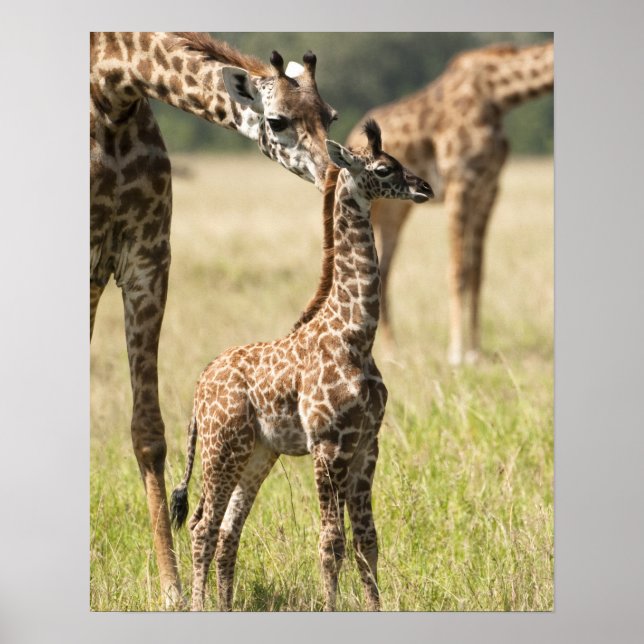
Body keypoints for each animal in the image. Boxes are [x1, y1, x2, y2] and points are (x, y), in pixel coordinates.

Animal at [90, 32, 337, 606]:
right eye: (278, 121)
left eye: (330, 116)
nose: (333, 173)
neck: (112, 90)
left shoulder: (147, 257)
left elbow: (148, 430)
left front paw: (173, 590)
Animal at [169, 120, 433, 611]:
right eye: (384, 169)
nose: (425, 187)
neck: (355, 334)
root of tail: (199, 385)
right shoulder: (328, 445)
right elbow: (331, 541)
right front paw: (330, 607)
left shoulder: (367, 444)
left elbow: (367, 541)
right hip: (221, 448)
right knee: (202, 527)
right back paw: (200, 604)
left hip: (257, 453)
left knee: (228, 531)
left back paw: (224, 605)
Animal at [346, 41, 554, 365]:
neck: (499, 95)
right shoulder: (460, 182)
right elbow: (458, 270)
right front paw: (456, 353)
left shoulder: (489, 188)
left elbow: (477, 272)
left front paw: (475, 351)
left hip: (395, 210)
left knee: (384, 270)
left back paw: (393, 351)